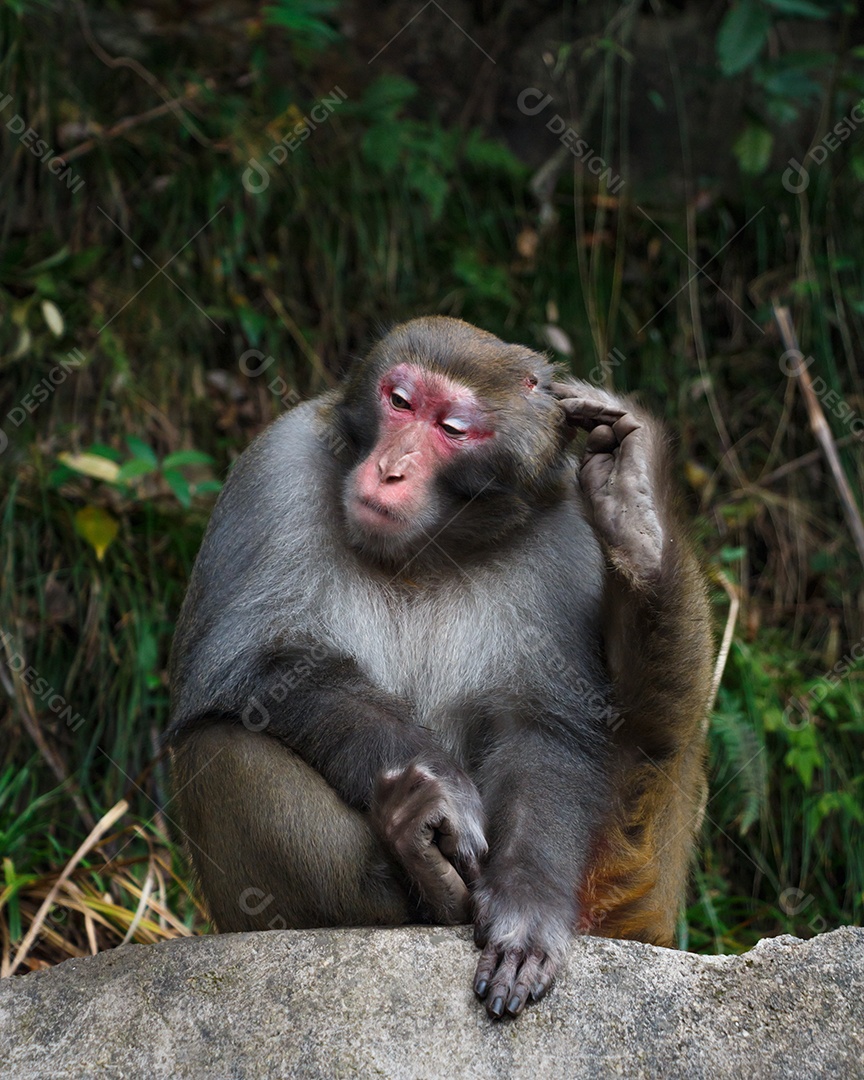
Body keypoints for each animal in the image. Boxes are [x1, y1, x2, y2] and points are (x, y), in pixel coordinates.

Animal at [167, 316, 713, 1020]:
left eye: (452, 429)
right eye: (400, 402)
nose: (390, 469)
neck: (431, 547)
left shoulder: (563, 533)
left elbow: (547, 728)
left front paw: (526, 902)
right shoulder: (276, 467)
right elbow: (246, 666)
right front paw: (441, 792)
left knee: (659, 734)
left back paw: (637, 520)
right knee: (219, 747)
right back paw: (420, 868)